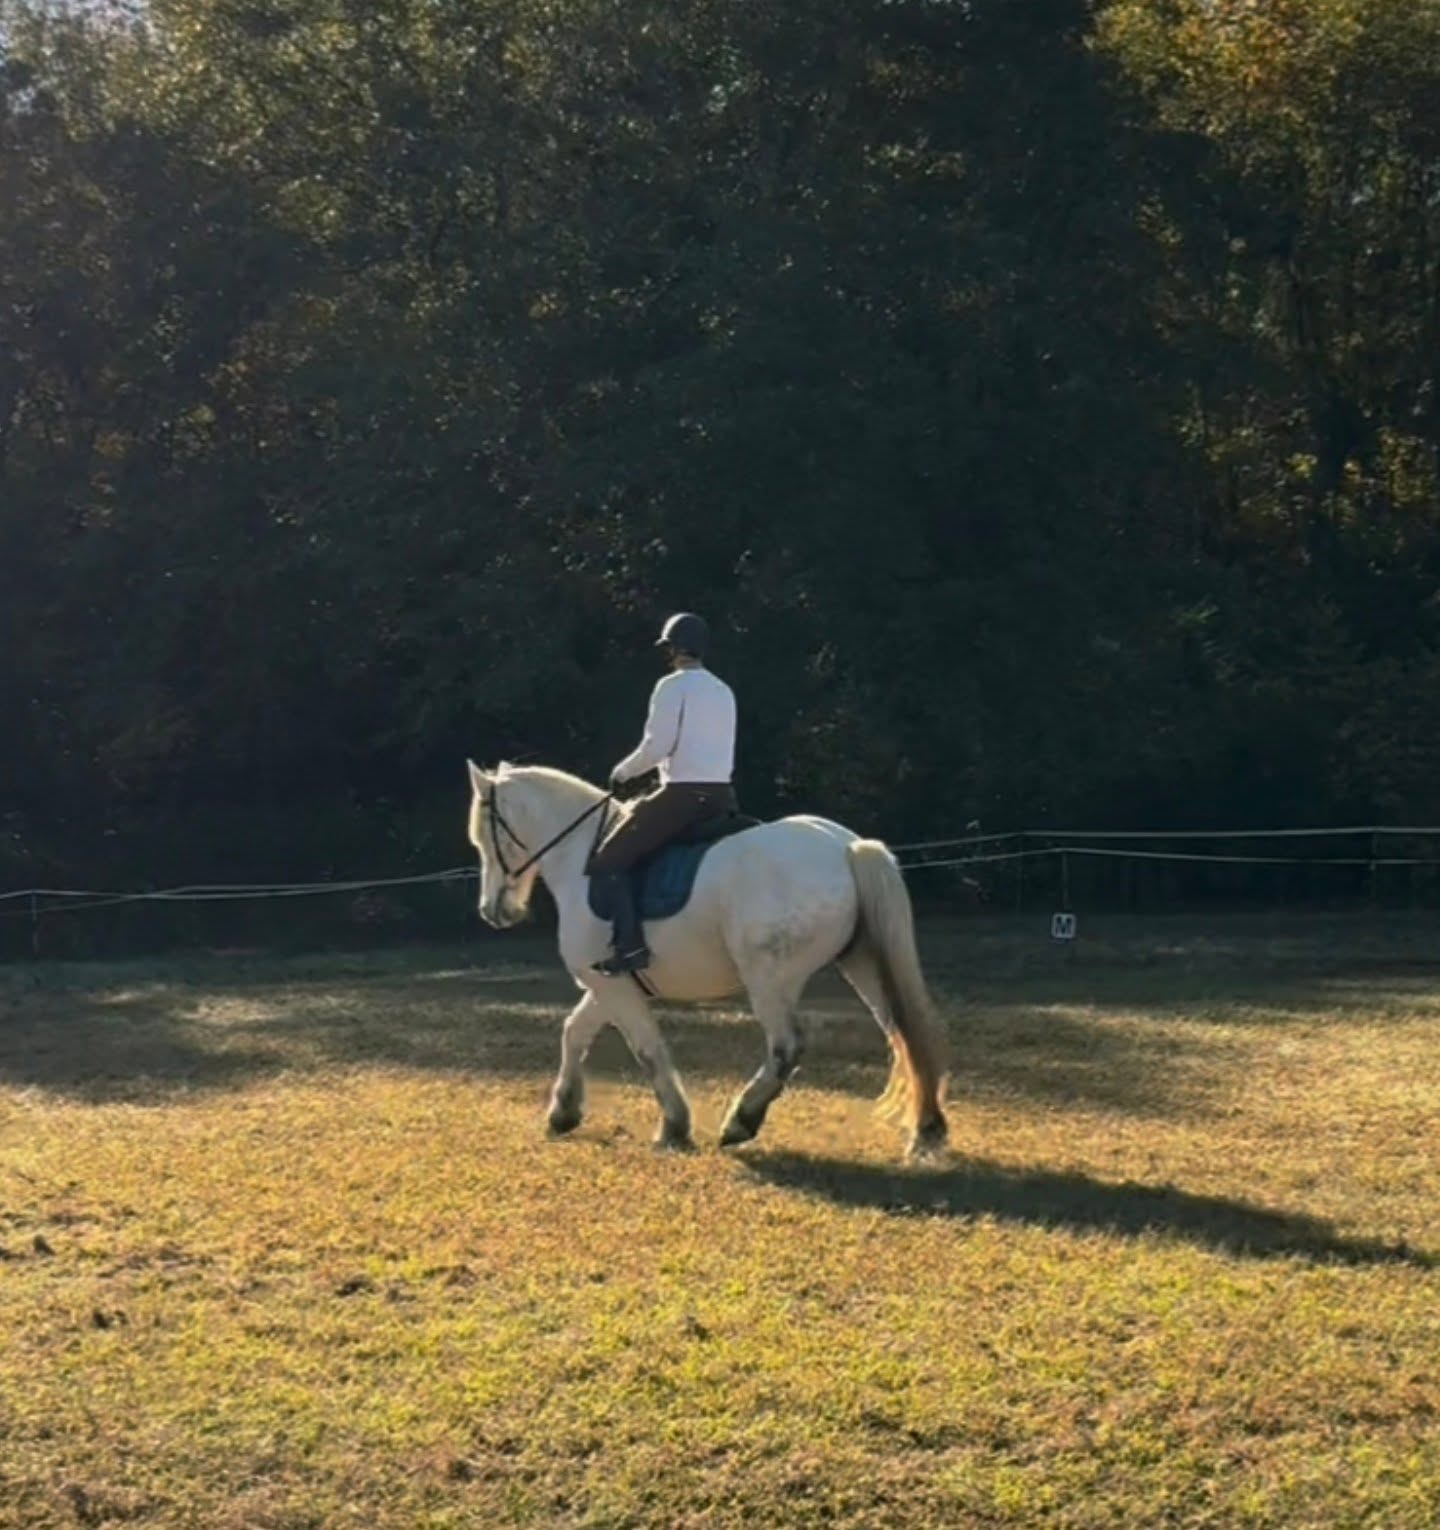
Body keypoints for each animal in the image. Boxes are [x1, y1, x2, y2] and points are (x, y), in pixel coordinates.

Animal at [465, 761, 949, 1158]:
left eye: (485, 836)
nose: (492, 911)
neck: (581, 859)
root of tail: (847, 848)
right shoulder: (607, 984)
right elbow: (574, 1032)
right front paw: (562, 1113)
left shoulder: (612, 986)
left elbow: (646, 1050)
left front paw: (674, 1127)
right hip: (862, 964)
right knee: (904, 1034)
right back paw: (926, 1130)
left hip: (769, 978)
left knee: (787, 1045)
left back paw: (741, 1122)